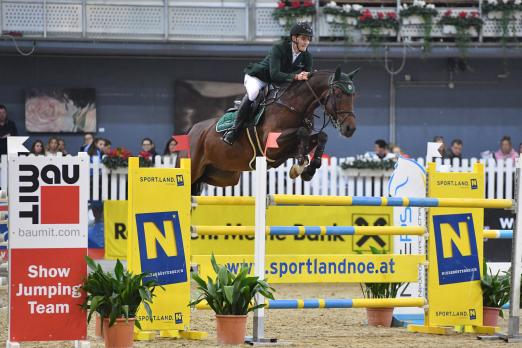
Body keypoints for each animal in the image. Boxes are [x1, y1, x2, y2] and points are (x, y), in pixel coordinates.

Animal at [188, 66, 358, 194]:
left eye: (353, 95)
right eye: (338, 94)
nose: (350, 129)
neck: (294, 105)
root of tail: (192, 131)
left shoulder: (284, 152)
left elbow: (322, 136)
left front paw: (308, 169)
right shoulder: (271, 148)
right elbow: (301, 132)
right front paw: (301, 164)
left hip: (222, 175)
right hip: (193, 169)